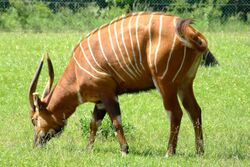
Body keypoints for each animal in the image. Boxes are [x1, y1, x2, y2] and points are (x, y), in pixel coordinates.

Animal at [28, 12, 207, 157]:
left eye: (34, 119)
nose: (36, 144)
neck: (76, 74)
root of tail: (193, 33)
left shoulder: (108, 94)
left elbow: (116, 121)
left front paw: (124, 150)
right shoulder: (100, 101)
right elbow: (94, 123)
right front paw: (88, 149)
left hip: (165, 83)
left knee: (175, 113)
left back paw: (169, 153)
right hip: (185, 83)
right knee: (195, 110)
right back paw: (199, 152)